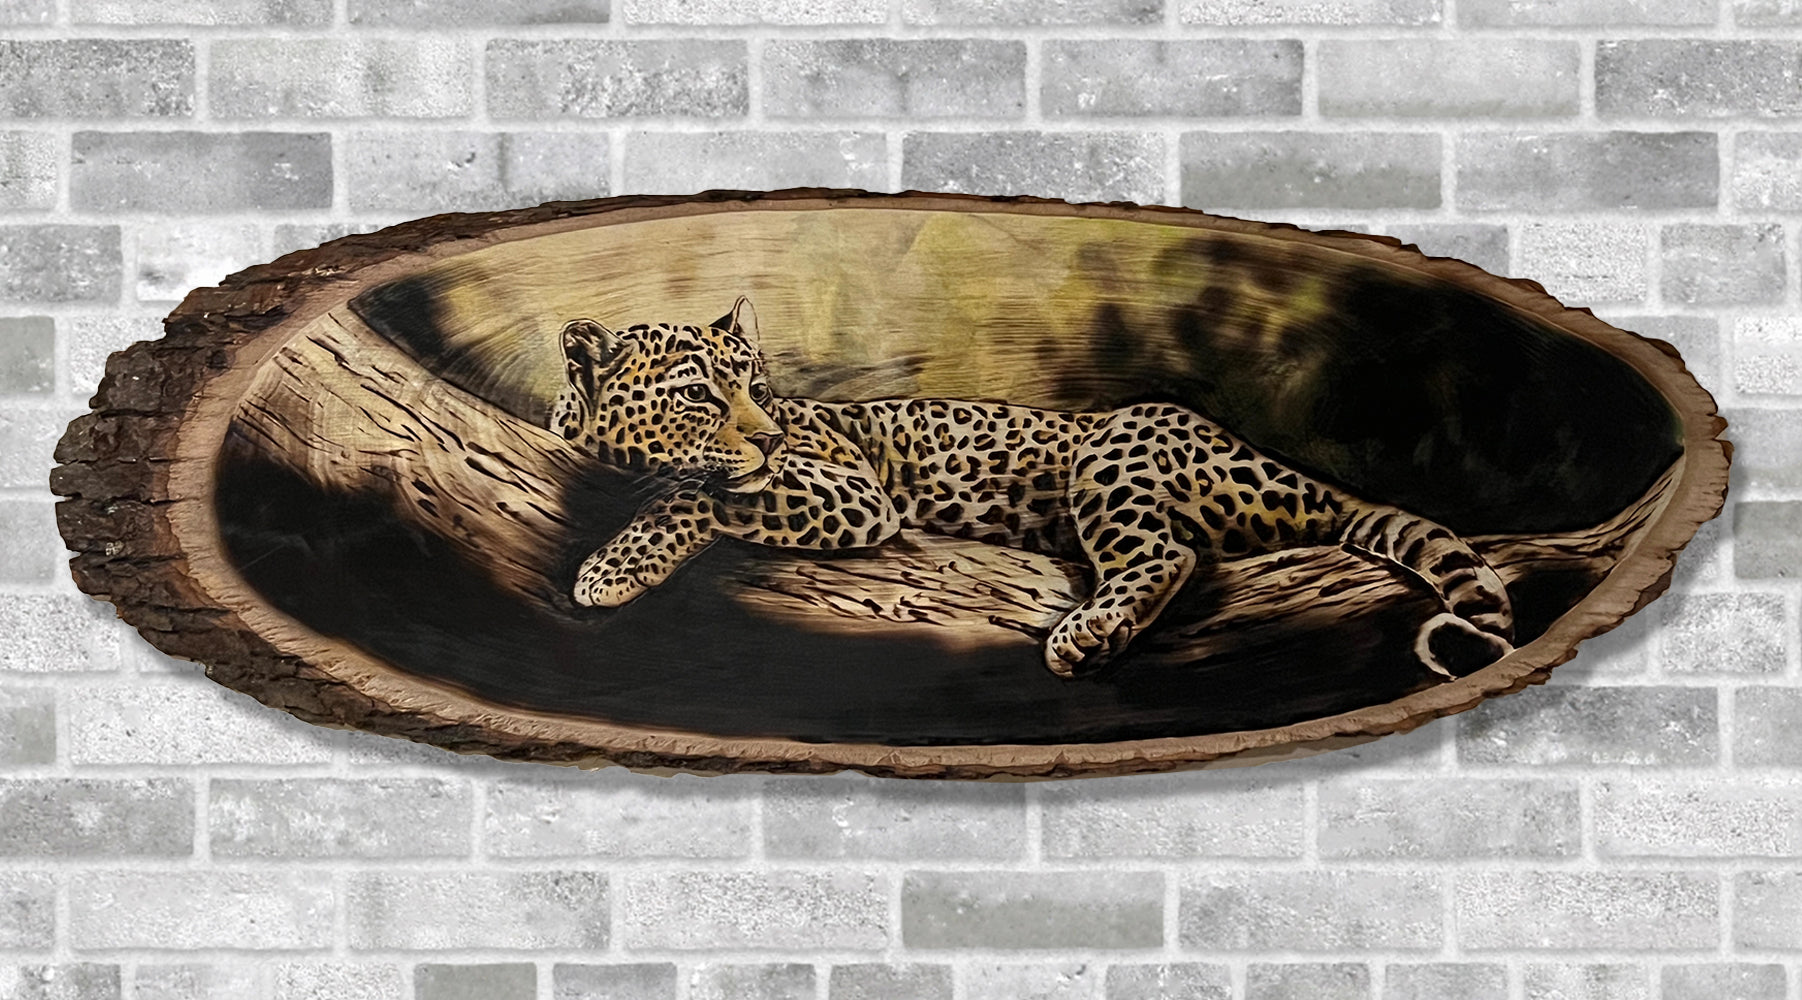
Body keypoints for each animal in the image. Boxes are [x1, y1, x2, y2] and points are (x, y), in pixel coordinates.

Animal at [550, 296, 1516, 679]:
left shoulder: (853, 492)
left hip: (1118, 452)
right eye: (699, 395)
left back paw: (1085, 636)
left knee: (1167, 555)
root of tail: (1284, 468)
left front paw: (611, 569)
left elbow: (700, 491)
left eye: (754, 382)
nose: (772, 433)